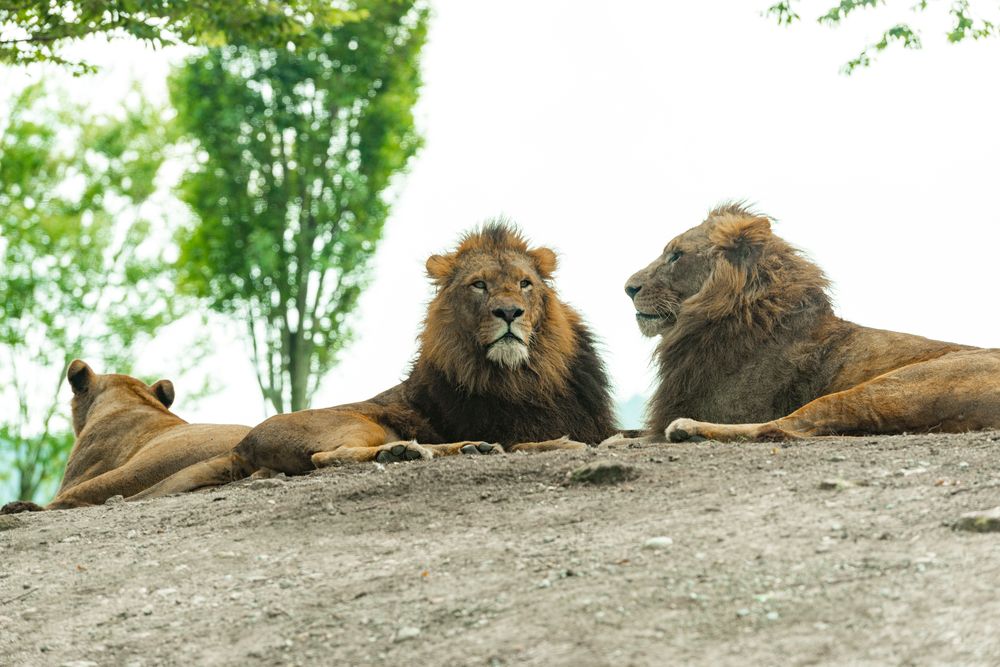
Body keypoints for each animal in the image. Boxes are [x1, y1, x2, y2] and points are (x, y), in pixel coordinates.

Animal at [133, 222, 616, 498]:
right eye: (478, 285)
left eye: (525, 283)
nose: (509, 313)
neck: (525, 375)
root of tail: (243, 443)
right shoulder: (507, 428)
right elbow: (540, 442)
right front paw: (564, 444)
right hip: (358, 422)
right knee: (326, 458)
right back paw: (409, 451)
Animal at [624, 204, 1000, 444]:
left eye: (676, 255)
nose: (628, 288)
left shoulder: (724, 407)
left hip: (888, 387)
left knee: (783, 427)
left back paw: (688, 429)